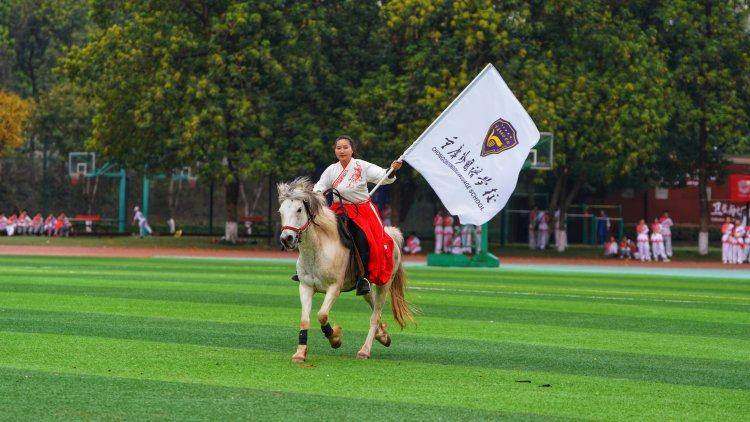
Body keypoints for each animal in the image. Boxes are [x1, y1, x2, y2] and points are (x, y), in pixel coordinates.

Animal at [278, 178, 418, 362]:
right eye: (280, 211)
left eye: (299, 209)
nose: (287, 239)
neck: (318, 249)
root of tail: (391, 236)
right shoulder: (306, 287)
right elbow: (304, 319)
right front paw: (300, 353)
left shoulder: (334, 288)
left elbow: (322, 315)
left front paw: (335, 338)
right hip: (365, 286)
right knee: (372, 303)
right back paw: (382, 336)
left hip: (384, 283)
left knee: (375, 315)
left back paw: (365, 350)